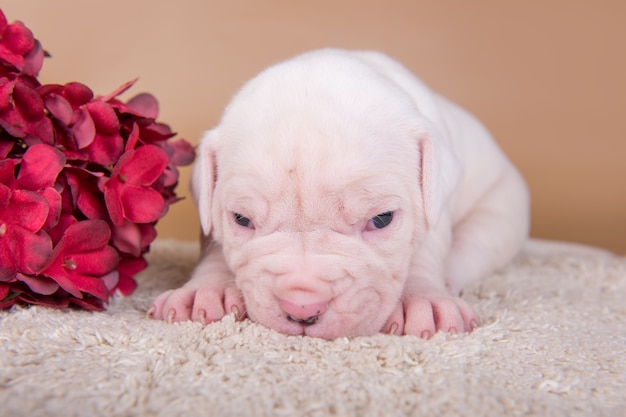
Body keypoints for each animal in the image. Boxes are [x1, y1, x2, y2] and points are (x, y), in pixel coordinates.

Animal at [147, 50, 528, 340]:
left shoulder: (434, 212)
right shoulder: (211, 216)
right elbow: (215, 246)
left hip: (501, 214)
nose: (302, 307)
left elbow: (424, 250)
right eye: (242, 220)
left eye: (382, 219)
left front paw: (422, 298)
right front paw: (206, 289)